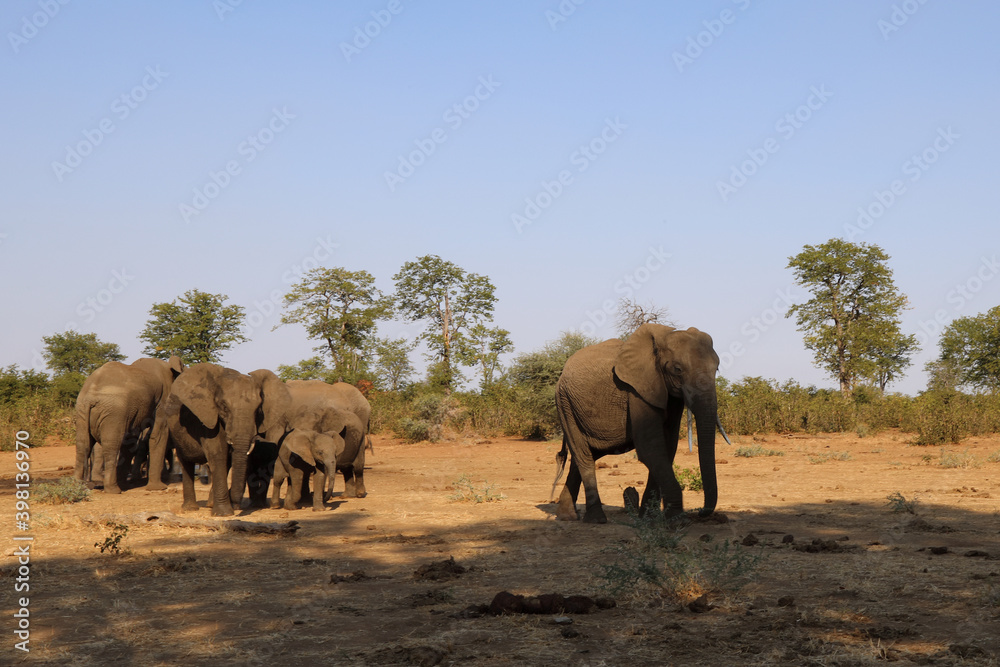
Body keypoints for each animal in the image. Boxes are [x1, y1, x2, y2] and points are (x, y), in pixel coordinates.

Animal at [74, 356, 185, 493]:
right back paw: (113, 490)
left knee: (83, 444)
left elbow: (131, 439)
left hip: (81, 410)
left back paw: (78, 486)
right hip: (113, 412)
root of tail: (90, 396)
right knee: (111, 445)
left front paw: (125, 483)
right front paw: (159, 488)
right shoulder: (163, 399)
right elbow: (159, 434)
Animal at [145, 364, 291, 516]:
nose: (237, 505)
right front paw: (224, 514)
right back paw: (190, 508)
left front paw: (220, 508)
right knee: (186, 462)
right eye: (224, 407)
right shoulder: (208, 418)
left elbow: (226, 459)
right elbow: (218, 454)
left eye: (258, 409)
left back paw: (209, 504)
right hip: (175, 431)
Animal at [552, 324, 730, 524]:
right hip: (565, 404)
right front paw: (676, 520)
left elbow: (668, 446)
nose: (700, 512)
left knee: (584, 455)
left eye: (716, 368)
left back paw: (566, 516)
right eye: (677, 369)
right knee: (583, 456)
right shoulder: (637, 390)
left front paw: (649, 518)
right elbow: (650, 447)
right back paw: (596, 519)